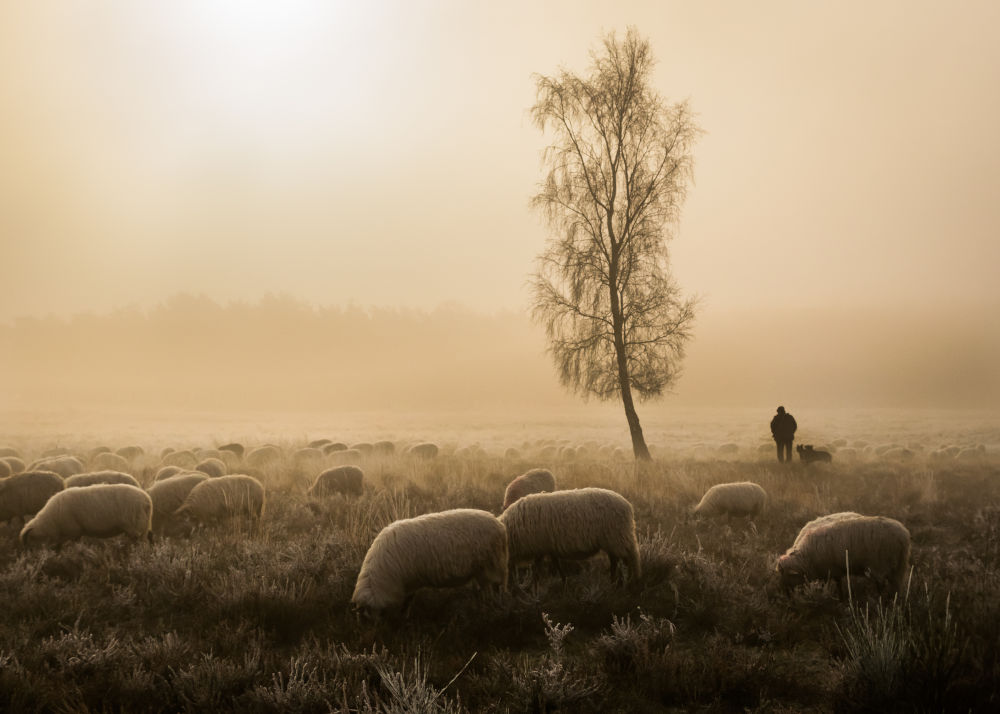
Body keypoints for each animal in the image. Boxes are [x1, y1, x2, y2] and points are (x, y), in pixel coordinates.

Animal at [19, 484, 153, 544]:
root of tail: (147, 500)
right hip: (143, 527)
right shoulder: (74, 534)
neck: (51, 520)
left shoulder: (72, 531)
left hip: (135, 527)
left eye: (30, 542)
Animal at [352, 506, 508, 616]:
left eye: (366, 617)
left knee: (495, 590)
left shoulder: (409, 582)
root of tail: (499, 524)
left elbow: (407, 603)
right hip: (481, 570)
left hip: (491, 567)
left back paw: (492, 608)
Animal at [498, 484, 640, 584]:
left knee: (630, 559)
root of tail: (627, 505)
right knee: (615, 560)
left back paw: (629, 581)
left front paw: (535, 587)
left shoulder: (540, 547)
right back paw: (614, 580)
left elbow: (537, 570)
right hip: (613, 540)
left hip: (617, 537)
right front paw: (564, 581)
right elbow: (555, 564)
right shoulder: (548, 547)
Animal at [776, 512, 912, 596]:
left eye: (786, 575)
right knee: (895, 586)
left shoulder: (830, 568)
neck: (805, 558)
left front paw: (840, 598)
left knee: (881, 585)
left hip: (880, 564)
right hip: (899, 565)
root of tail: (903, 535)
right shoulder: (828, 570)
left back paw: (881, 602)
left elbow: (837, 584)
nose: (785, 594)